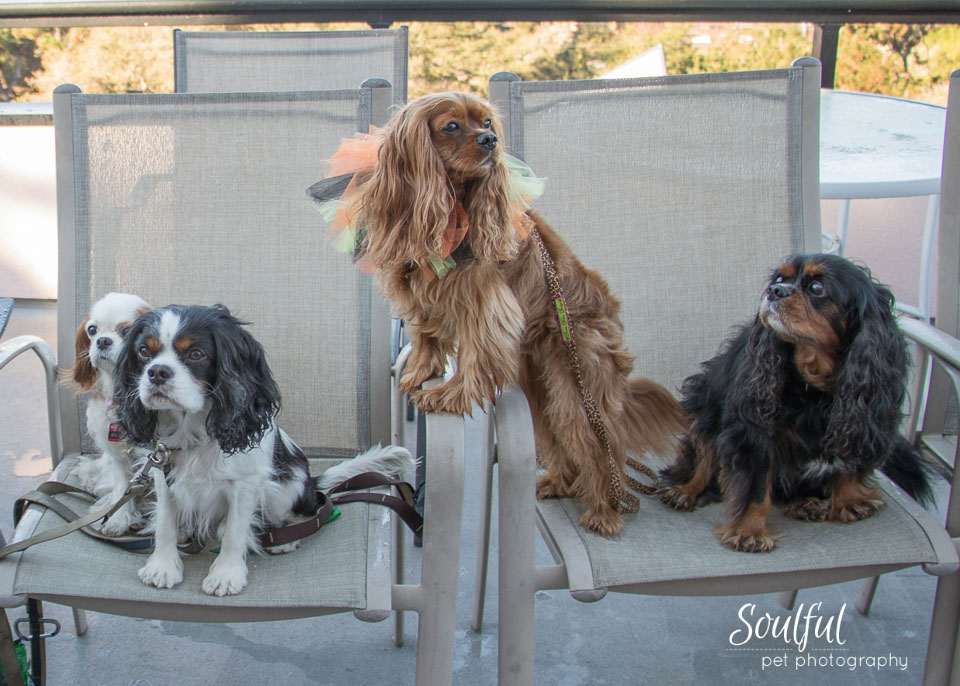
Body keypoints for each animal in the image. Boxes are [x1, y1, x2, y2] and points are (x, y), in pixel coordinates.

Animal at [316, 92, 688, 536]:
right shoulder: (421, 286)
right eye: (452, 126)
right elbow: (425, 333)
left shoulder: (485, 301)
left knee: (600, 443)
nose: (490, 140)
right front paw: (419, 372)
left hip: (577, 384)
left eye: (488, 122)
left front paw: (449, 393)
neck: (451, 201)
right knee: (556, 436)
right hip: (541, 385)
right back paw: (560, 484)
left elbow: (476, 352)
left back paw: (604, 511)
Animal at [660, 253, 928, 552]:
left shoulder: (860, 420)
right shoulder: (753, 429)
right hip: (705, 402)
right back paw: (685, 490)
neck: (815, 387)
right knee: (703, 458)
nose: (775, 291)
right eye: (779, 279)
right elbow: (756, 487)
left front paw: (850, 499)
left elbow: (848, 463)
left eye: (817, 288)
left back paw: (807, 502)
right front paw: (749, 531)